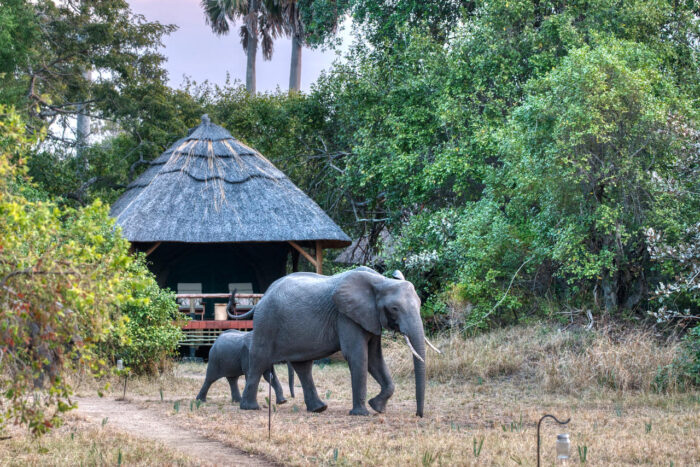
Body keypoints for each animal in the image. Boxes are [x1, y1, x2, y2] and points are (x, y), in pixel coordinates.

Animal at [232, 266, 434, 416]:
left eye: (419, 304)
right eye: (394, 308)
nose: (418, 415)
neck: (380, 281)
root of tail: (262, 298)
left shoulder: (370, 317)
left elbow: (375, 358)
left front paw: (377, 407)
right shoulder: (345, 316)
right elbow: (358, 355)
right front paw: (362, 413)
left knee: (303, 366)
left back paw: (319, 408)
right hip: (266, 322)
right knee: (259, 359)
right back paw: (250, 408)